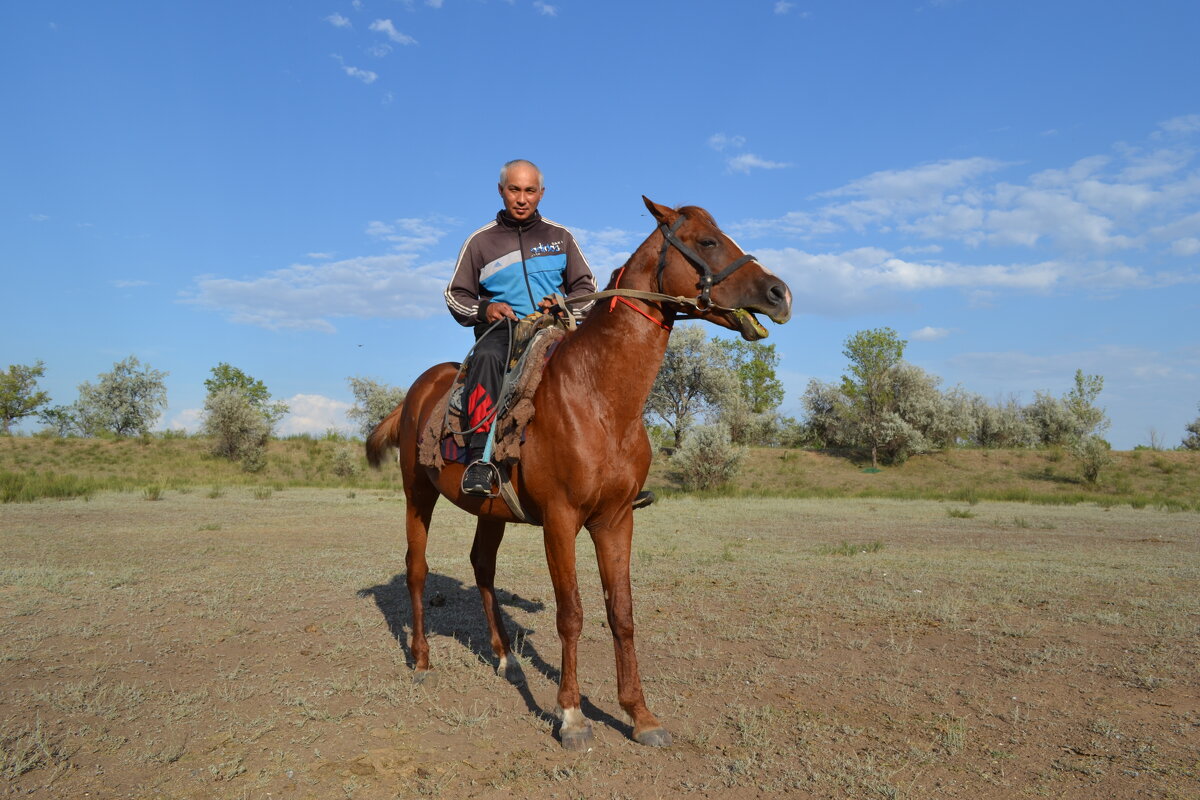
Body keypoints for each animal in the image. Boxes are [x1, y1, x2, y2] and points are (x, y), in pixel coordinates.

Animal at [367, 195, 796, 753]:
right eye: (707, 240)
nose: (780, 293)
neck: (599, 397)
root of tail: (417, 392)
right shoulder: (560, 521)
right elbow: (570, 614)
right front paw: (571, 715)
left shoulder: (615, 520)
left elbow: (622, 613)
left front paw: (640, 715)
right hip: (417, 494)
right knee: (416, 569)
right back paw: (421, 660)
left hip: (490, 509)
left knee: (482, 566)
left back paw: (505, 657)